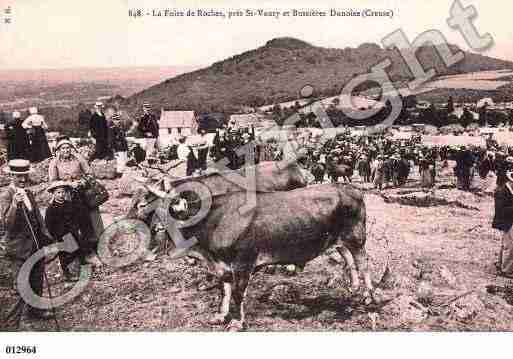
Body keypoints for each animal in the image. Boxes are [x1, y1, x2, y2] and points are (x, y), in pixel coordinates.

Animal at [132, 184, 372, 330]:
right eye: (152, 218)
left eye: (161, 226)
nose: (146, 255)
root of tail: (350, 188)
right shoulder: (222, 265)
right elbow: (224, 290)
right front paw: (221, 315)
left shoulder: (243, 263)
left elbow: (238, 294)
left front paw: (238, 322)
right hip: (337, 240)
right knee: (349, 260)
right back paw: (354, 287)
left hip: (356, 237)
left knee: (363, 262)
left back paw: (367, 296)